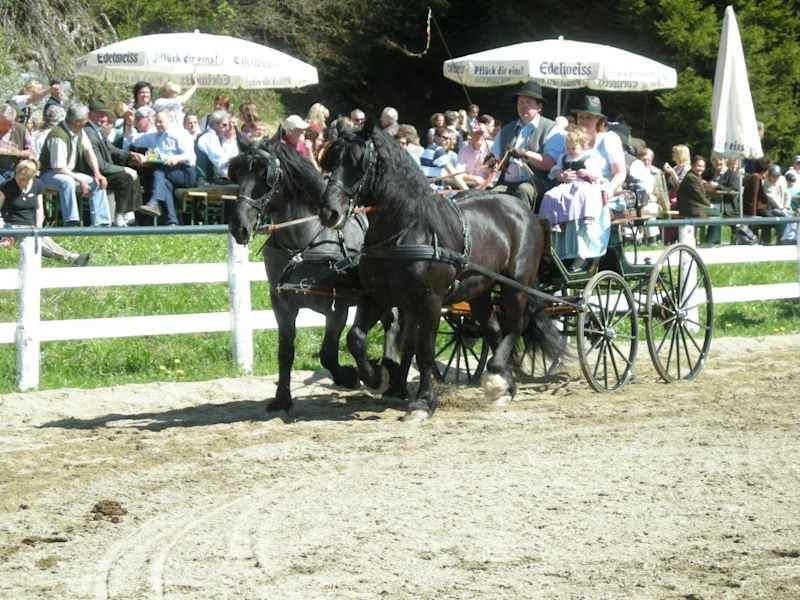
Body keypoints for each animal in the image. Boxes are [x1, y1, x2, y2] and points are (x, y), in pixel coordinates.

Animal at [228, 140, 401, 413]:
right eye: (236, 173)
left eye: (266, 175)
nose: (239, 227)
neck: (303, 244)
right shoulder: (282, 304)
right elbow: (285, 351)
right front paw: (282, 399)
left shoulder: (337, 306)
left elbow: (328, 353)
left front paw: (350, 376)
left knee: (394, 323)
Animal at [317, 122, 562, 421]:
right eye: (329, 160)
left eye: (358, 162)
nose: (329, 212)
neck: (405, 230)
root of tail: (521, 208)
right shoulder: (377, 296)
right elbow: (356, 338)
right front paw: (377, 378)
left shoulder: (430, 301)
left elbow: (424, 350)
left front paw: (423, 402)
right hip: (478, 290)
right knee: (493, 328)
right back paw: (505, 386)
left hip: (515, 283)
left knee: (516, 324)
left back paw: (496, 376)